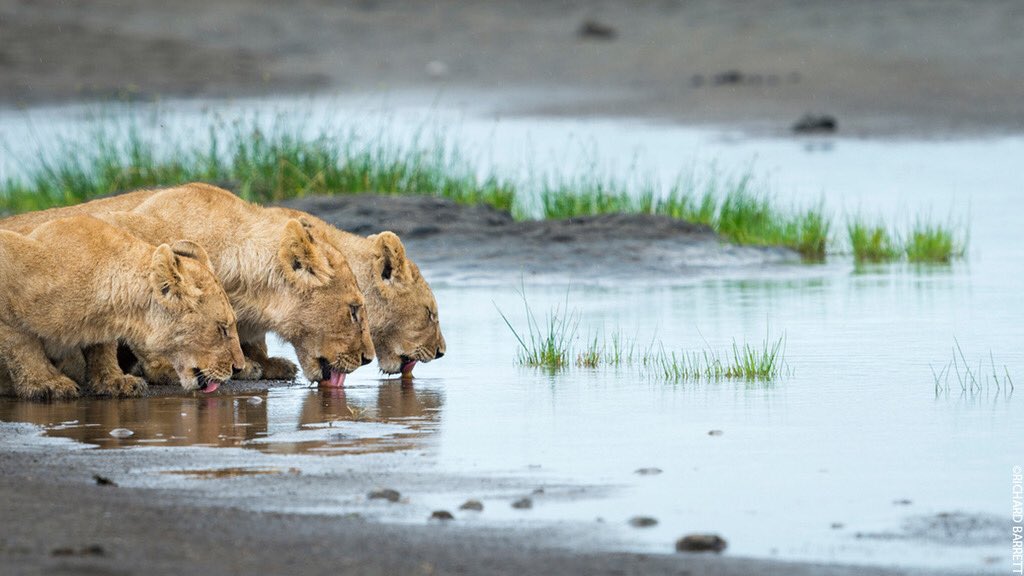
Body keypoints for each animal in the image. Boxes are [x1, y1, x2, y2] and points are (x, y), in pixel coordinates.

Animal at [0, 215, 245, 400]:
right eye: (222, 328)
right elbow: (22, 344)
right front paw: (47, 383)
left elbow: (103, 347)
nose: (238, 368)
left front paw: (114, 381)